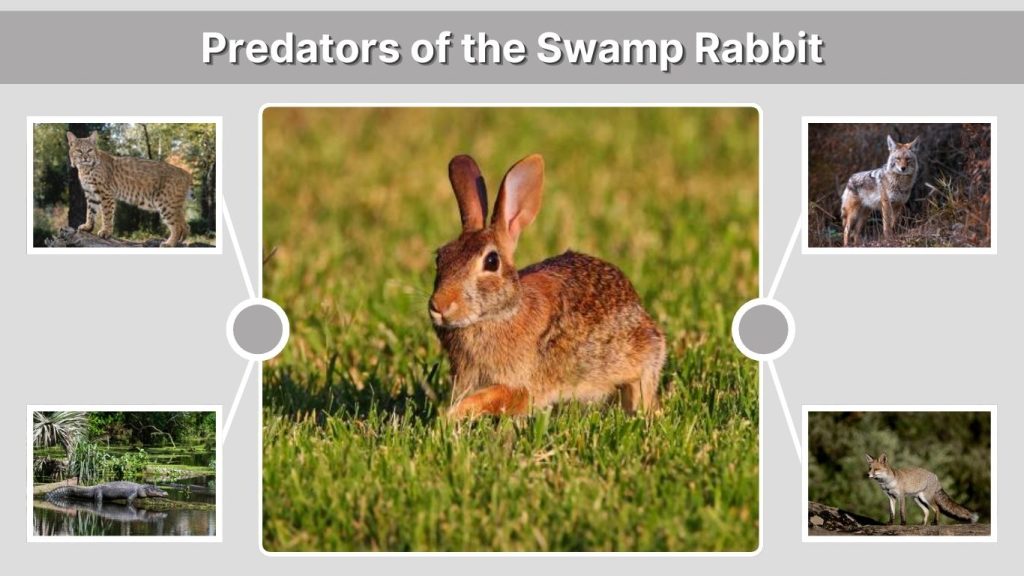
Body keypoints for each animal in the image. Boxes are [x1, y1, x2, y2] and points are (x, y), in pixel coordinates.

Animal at [429, 153, 666, 420]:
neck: (500, 314)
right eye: (440, 257)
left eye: (491, 261)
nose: (439, 305)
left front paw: (447, 417)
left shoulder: (521, 386)